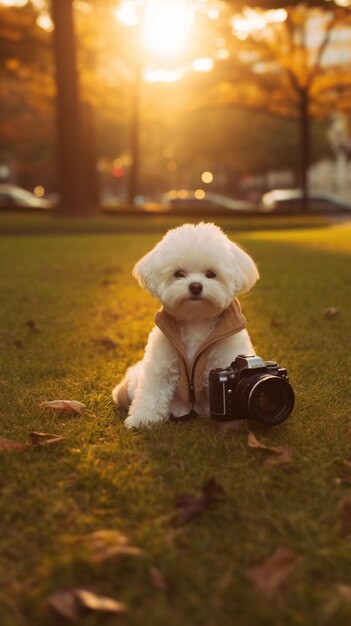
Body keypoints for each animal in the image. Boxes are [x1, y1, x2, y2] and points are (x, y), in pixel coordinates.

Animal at [111, 222, 260, 426]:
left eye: (211, 274)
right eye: (179, 274)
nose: (195, 286)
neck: (195, 319)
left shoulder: (225, 357)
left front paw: (233, 422)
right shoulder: (161, 363)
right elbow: (152, 390)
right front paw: (142, 418)